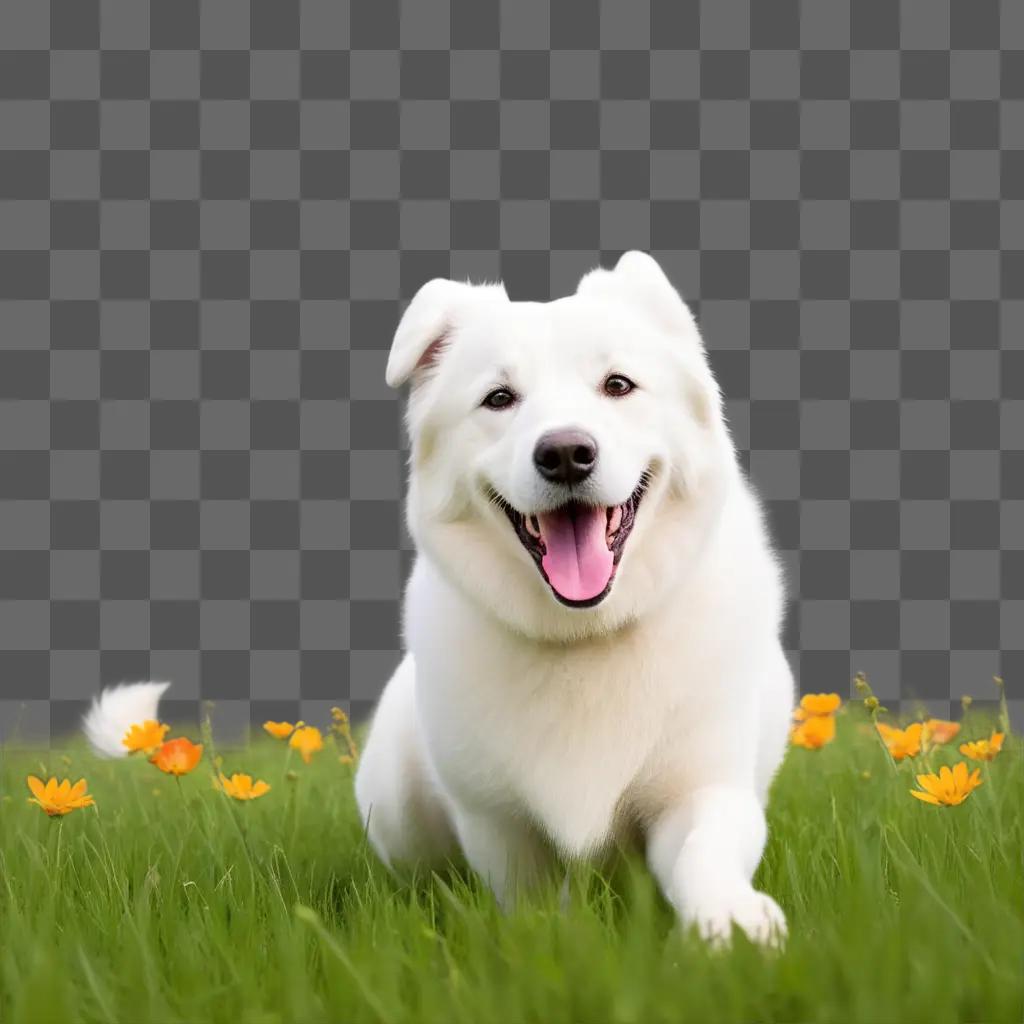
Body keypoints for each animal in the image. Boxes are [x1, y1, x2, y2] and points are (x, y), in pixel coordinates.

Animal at [356, 251, 794, 937]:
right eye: (499, 398)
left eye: (618, 385)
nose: (565, 453)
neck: (585, 636)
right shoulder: (498, 825)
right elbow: (534, 900)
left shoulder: (703, 786)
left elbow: (704, 853)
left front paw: (731, 921)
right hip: (395, 800)